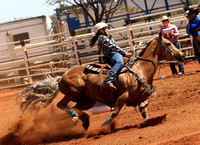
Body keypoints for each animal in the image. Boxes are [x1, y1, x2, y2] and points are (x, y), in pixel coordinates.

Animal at [16, 31, 184, 130]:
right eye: (168, 43)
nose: (182, 55)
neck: (138, 70)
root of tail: (60, 77)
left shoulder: (141, 97)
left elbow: (144, 110)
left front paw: (149, 121)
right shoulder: (123, 95)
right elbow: (115, 111)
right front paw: (105, 125)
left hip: (86, 100)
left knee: (77, 108)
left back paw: (84, 120)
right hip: (74, 90)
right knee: (61, 104)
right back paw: (76, 118)